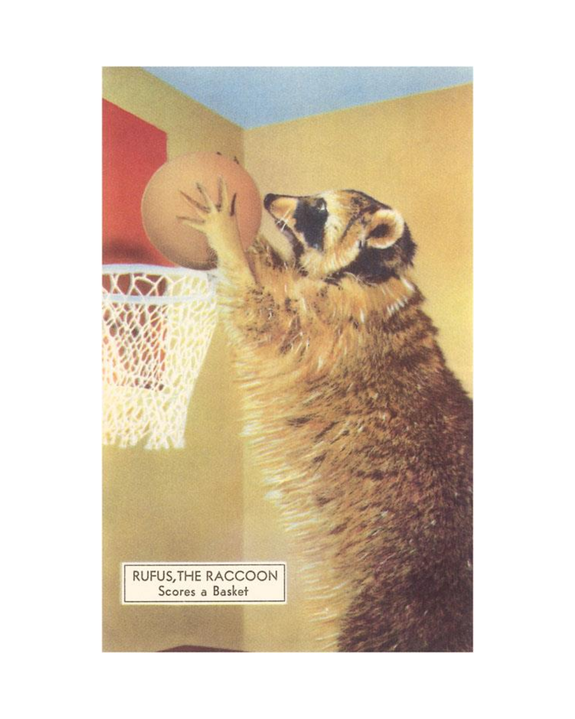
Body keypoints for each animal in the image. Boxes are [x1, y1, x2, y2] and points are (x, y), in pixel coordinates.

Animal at [179, 182, 473, 652]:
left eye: (318, 208)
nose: (269, 197)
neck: (369, 271)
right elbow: (277, 284)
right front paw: (253, 245)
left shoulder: (337, 320)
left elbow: (267, 318)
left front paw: (228, 241)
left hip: (404, 604)